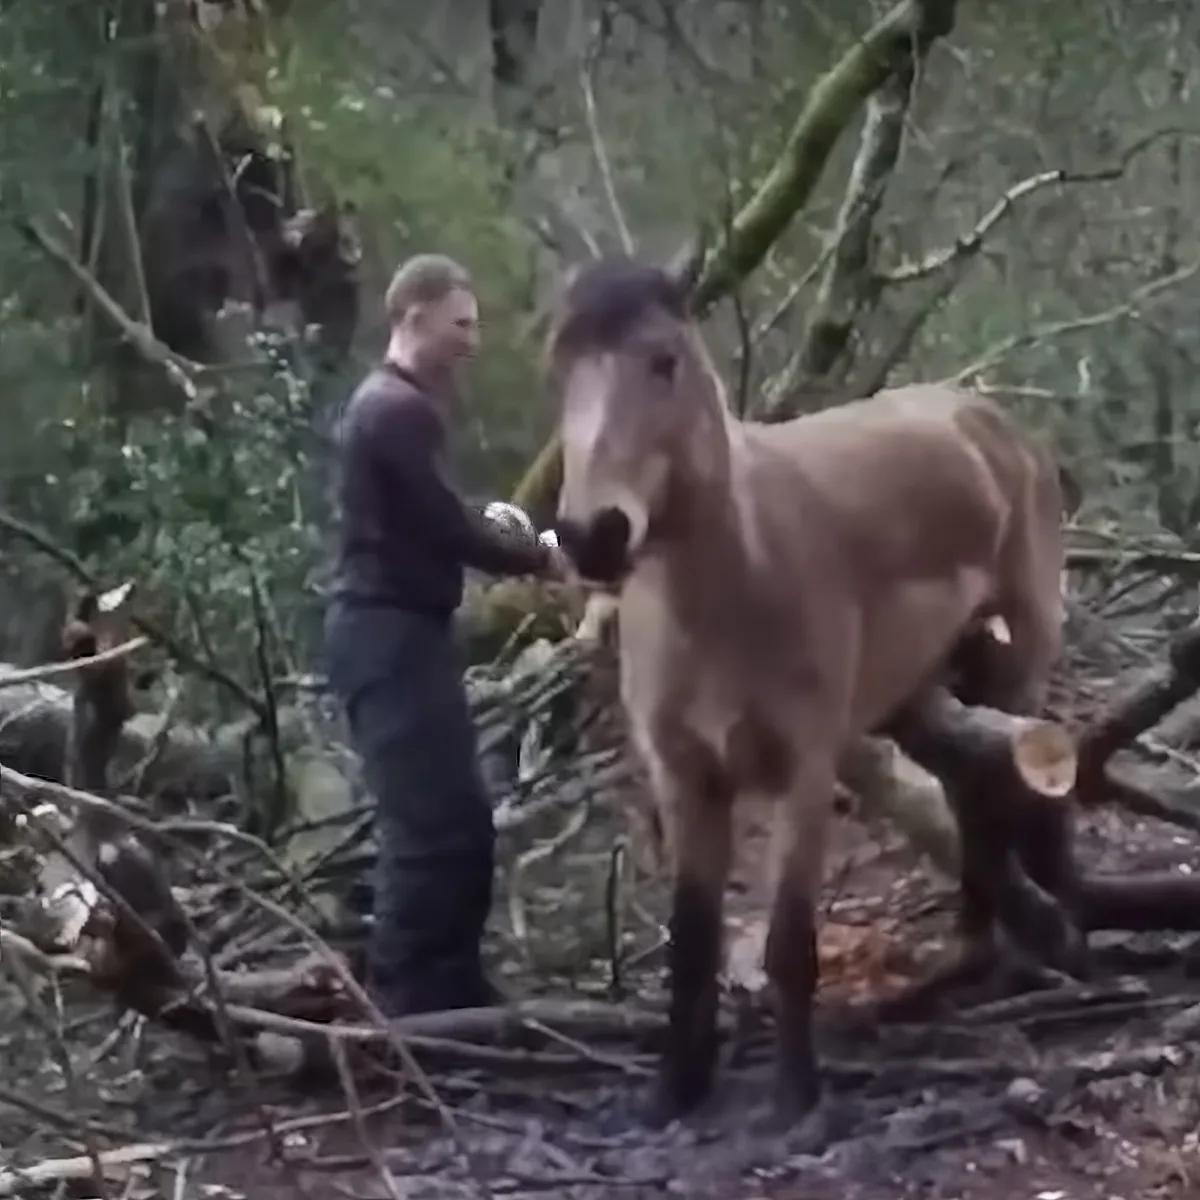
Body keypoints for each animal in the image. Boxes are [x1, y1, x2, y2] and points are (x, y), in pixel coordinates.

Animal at [546, 255, 1073, 1129]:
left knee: (1013, 788)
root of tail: (987, 418)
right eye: (559, 372)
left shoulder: (806, 765)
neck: (737, 582)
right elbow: (692, 939)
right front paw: (674, 1089)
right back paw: (969, 959)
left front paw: (798, 1093)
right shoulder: (683, 776)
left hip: (1023, 655)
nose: (594, 534)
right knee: (973, 797)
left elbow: (790, 938)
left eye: (664, 360)